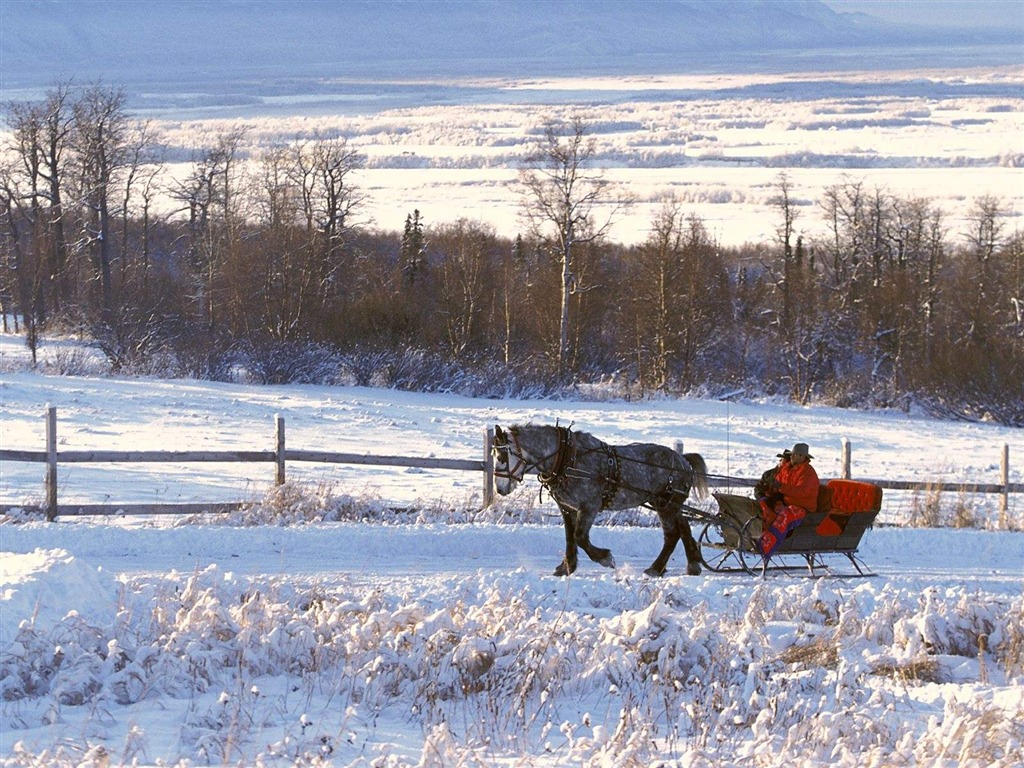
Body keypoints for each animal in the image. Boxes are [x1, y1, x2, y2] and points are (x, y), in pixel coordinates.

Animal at [491, 423, 708, 581]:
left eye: (502, 456)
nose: (499, 489)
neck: (568, 459)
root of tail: (682, 460)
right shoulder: (567, 508)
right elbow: (570, 537)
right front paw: (567, 567)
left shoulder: (589, 506)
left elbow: (580, 536)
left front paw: (605, 558)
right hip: (666, 504)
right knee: (683, 527)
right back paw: (692, 565)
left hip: (666, 504)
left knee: (672, 533)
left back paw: (655, 568)